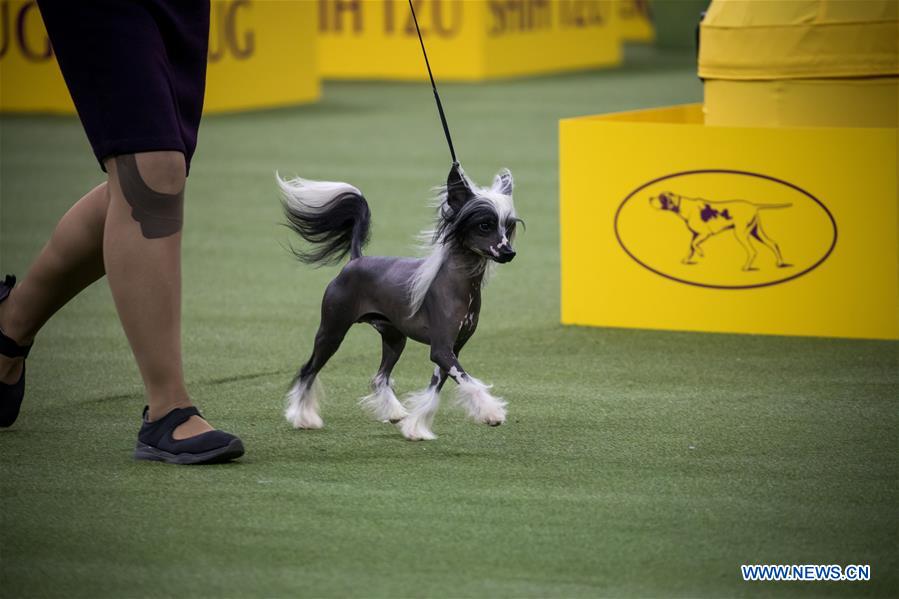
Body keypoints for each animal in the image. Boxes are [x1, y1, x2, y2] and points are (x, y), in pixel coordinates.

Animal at [278, 164, 524, 440]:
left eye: (508, 226)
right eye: (484, 225)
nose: (509, 252)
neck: (457, 286)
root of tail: (355, 261)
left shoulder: (452, 349)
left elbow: (434, 388)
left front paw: (416, 427)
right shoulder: (442, 349)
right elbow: (467, 380)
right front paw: (491, 413)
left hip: (394, 338)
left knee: (380, 377)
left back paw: (395, 413)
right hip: (332, 330)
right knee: (308, 370)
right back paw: (303, 417)